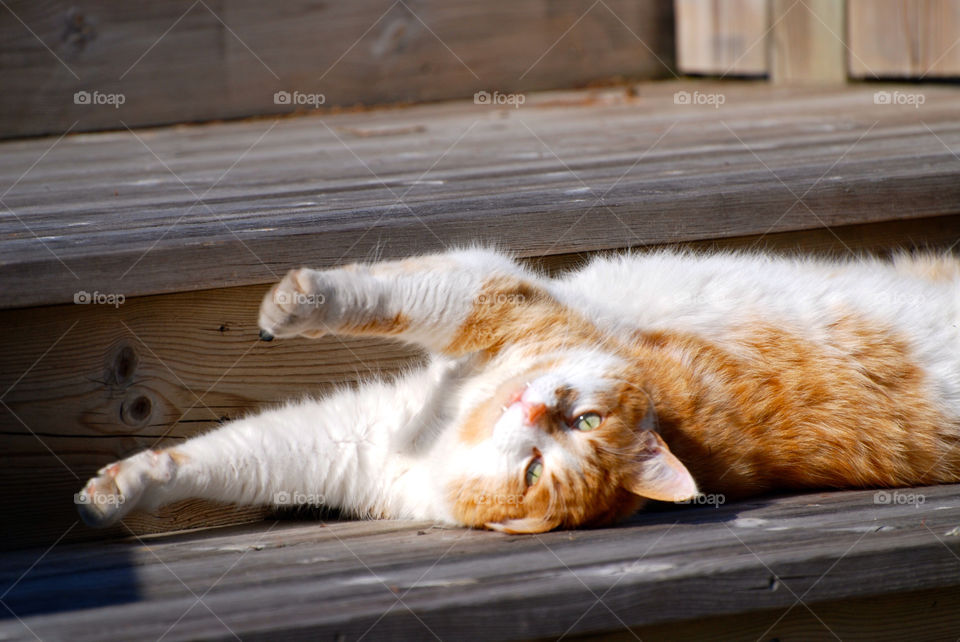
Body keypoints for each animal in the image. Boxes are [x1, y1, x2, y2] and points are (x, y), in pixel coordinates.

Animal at [75, 248, 960, 532]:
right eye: (586, 418)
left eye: (539, 469)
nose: (536, 408)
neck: (450, 429)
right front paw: (120, 489)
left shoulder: (491, 295)